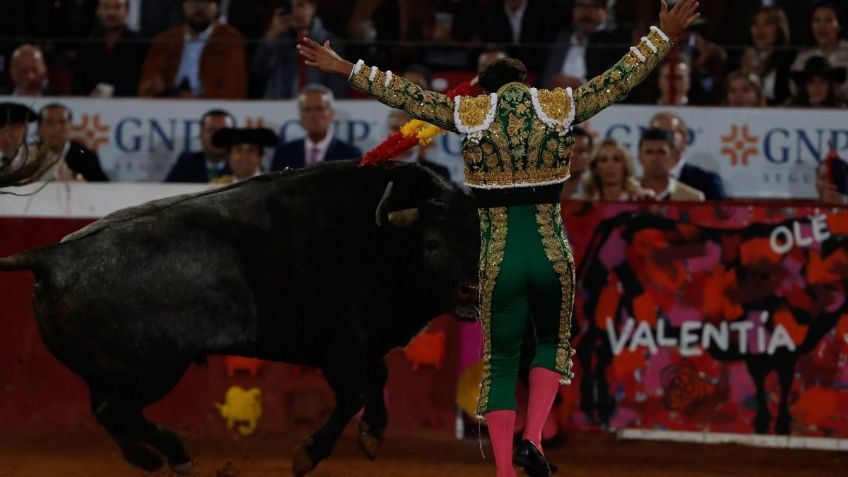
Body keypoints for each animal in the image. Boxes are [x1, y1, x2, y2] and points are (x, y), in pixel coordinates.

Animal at [0, 162, 480, 474]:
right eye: (432, 243)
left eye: (480, 239)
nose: (470, 293)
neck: (379, 241)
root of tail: (53, 255)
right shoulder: (340, 347)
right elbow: (353, 393)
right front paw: (307, 455)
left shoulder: (365, 343)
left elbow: (378, 377)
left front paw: (373, 435)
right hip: (153, 371)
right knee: (114, 410)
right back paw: (177, 455)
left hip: (111, 372)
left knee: (105, 412)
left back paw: (147, 457)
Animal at [576, 210, 848, 434]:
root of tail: (623, 218)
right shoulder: (766, 345)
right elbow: (768, 382)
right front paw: (770, 424)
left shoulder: (783, 348)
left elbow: (778, 382)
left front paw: (775, 425)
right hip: (617, 310)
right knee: (593, 350)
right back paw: (597, 410)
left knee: (594, 349)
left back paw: (598, 410)